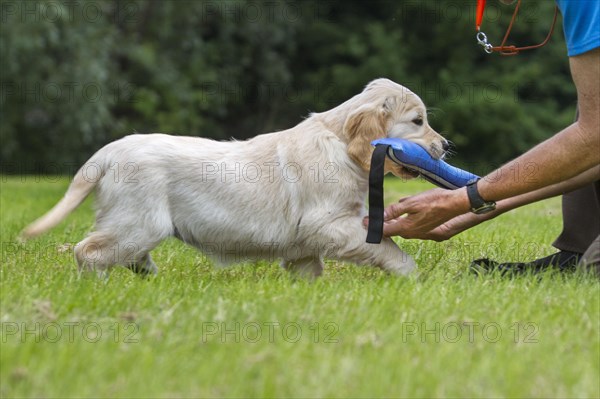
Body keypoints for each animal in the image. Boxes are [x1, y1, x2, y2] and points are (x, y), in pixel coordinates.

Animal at [22, 78, 446, 278]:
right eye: (417, 121)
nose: (444, 145)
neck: (341, 143)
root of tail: (109, 152)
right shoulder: (329, 224)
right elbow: (388, 248)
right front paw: (413, 278)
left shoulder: (305, 244)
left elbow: (307, 271)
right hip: (139, 221)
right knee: (88, 252)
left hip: (133, 224)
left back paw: (146, 274)